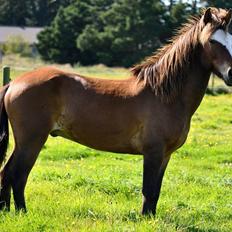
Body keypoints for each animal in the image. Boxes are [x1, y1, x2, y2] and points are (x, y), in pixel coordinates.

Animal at [0, 8, 232, 216]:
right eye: (213, 41)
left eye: (230, 41)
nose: (231, 74)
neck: (164, 94)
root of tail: (14, 83)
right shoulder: (153, 152)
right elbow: (148, 190)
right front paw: (146, 219)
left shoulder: (165, 155)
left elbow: (156, 191)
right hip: (31, 141)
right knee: (17, 175)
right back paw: (22, 212)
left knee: (7, 174)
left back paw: (7, 210)